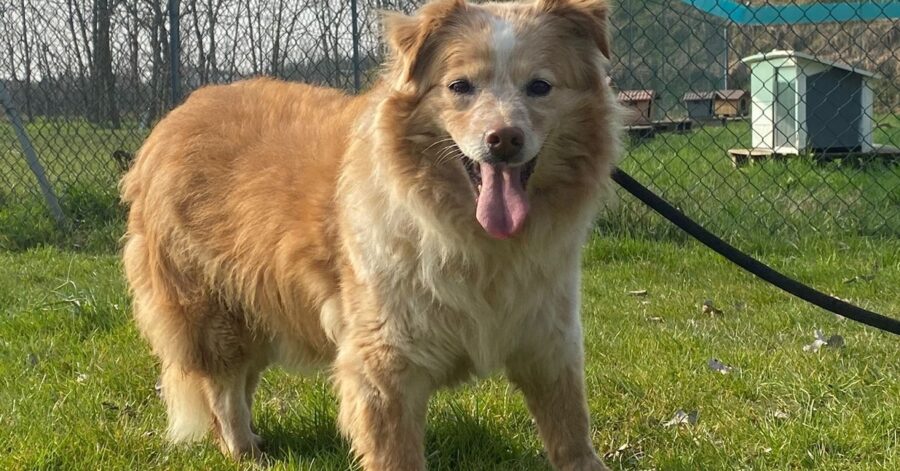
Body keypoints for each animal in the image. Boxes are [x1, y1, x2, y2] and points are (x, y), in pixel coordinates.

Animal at [121, 0, 620, 468]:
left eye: (540, 86)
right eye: (460, 86)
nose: (504, 139)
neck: (471, 238)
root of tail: (175, 117)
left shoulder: (550, 341)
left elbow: (572, 434)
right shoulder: (384, 366)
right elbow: (396, 454)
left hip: (259, 306)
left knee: (242, 380)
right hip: (213, 312)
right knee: (223, 388)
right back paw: (243, 450)